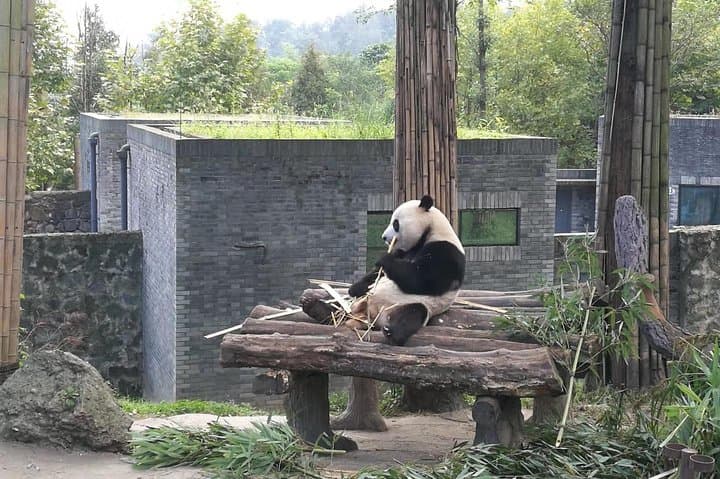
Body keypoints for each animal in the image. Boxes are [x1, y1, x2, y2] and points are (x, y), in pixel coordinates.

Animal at [302, 195, 465, 345]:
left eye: (396, 223)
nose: (384, 237)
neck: (431, 230)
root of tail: (368, 315)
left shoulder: (446, 251)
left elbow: (424, 280)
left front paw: (385, 259)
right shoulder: (403, 251)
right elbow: (375, 275)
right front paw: (355, 287)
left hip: (407, 305)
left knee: (413, 313)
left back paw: (391, 332)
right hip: (356, 303)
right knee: (340, 306)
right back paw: (314, 306)